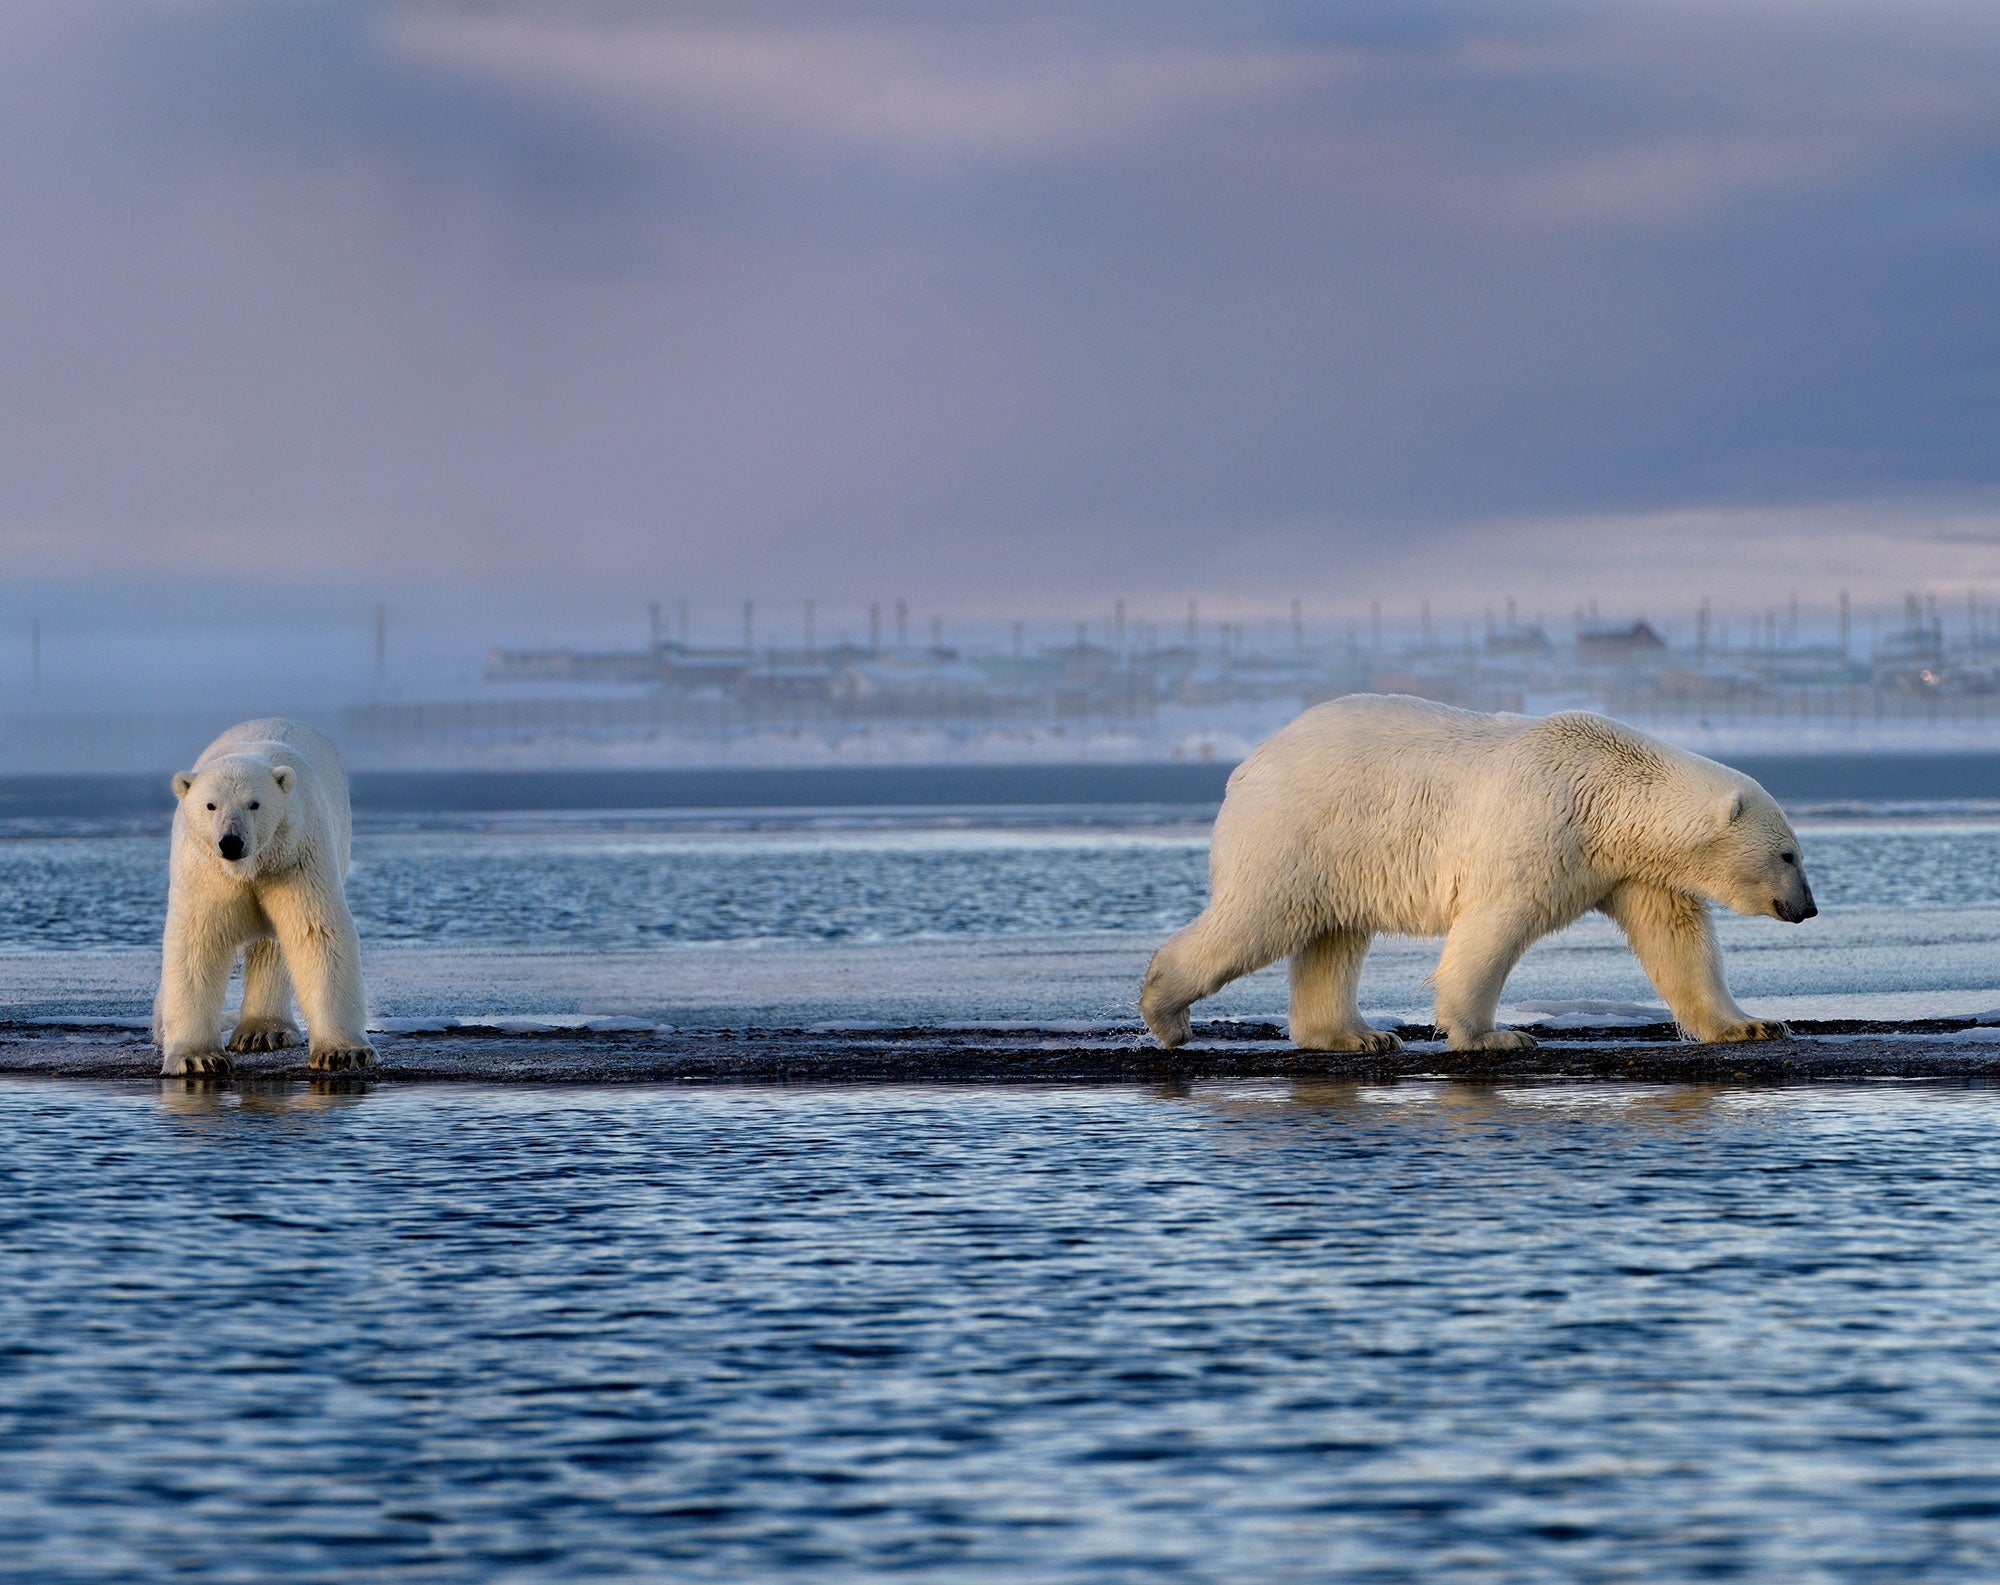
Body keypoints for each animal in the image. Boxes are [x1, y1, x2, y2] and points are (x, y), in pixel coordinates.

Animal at [153, 718, 375, 1077]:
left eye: (254, 803)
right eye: (211, 804)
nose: (231, 841)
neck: (250, 868)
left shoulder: (293, 859)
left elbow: (316, 932)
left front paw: (343, 1052)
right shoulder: (206, 873)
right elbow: (198, 940)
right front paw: (198, 1057)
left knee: (273, 949)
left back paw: (262, 1031)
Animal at [1140, 695, 1816, 1053]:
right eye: (1789, 855)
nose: (1807, 907)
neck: (1608, 792)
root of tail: (1247, 765)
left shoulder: (1632, 871)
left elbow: (1676, 942)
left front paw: (1752, 1024)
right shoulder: (1541, 831)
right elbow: (1493, 928)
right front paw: (1496, 1036)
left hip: (1342, 854)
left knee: (1333, 937)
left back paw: (1357, 1035)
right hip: (1300, 832)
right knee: (1258, 918)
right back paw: (1166, 1013)